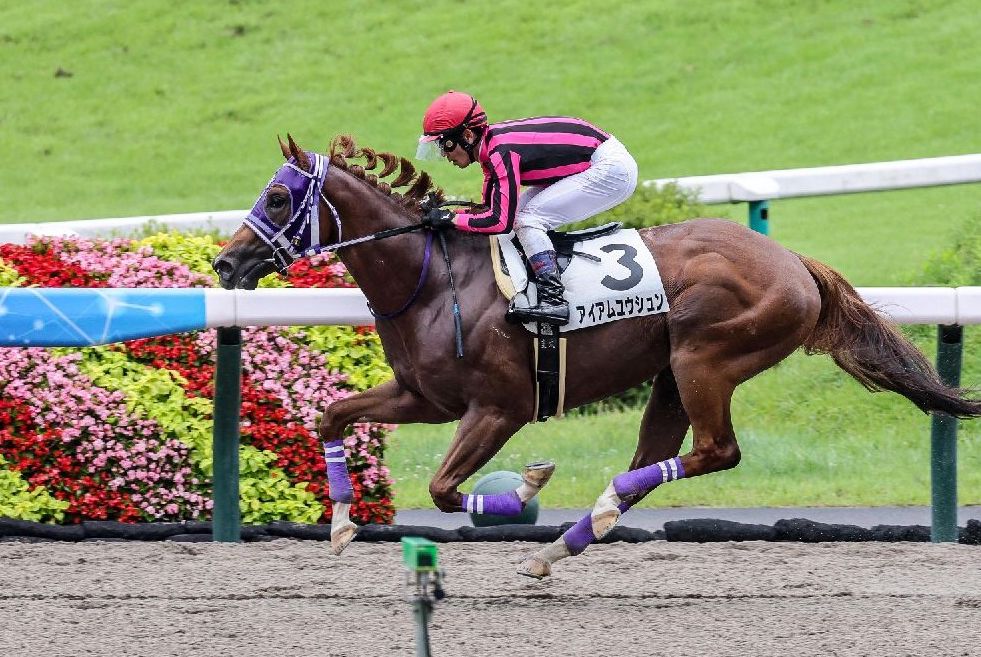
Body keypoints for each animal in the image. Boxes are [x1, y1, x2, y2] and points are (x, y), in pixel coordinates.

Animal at [212, 134, 981, 578]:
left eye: (277, 197)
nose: (224, 264)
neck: (434, 280)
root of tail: (793, 261)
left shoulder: (499, 408)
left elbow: (443, 489)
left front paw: (524, 488)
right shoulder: (423, 397)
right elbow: (333, 416)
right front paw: (343, 523)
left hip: (706, 357)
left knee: (715, 451)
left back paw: (586, 517)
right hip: (670, 375)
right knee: (660, 457)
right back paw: (571, 538)